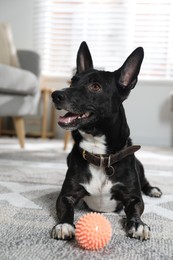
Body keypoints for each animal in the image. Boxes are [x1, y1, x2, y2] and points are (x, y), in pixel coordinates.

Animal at [50, 41, 162, 241]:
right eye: (72, 80)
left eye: (95, 86)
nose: (56, 95)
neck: (101, 155)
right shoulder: (67, 195)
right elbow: (66, 208)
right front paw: (64, 225)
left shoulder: (133, 197)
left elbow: (135, 209)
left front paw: (138, 224)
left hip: (140, 168)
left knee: (145, 182)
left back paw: (153, 190)